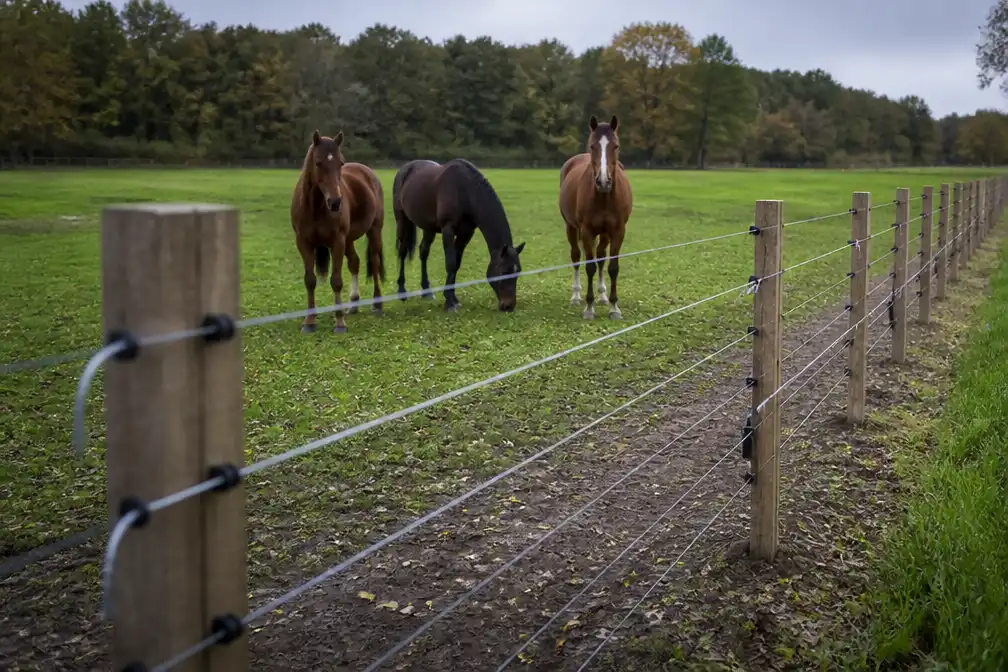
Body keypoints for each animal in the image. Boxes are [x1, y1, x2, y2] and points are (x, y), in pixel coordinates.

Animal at [290, 129, 386, 333]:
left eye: (340, 163)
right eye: (318, 162)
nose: (335, 202)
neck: (315, 208)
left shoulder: (337, 242)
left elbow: (336, 280)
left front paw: (340, 322)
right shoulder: (304, 243)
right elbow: (310, 280)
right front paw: (309, 321)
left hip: (373, 231)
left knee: (373, 263)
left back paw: (377, 304)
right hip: (349, 239)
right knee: (355, 263)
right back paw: (354, 304)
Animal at [392, 158, 526, 312]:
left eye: (518, 271)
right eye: (504, 272)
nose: (509, 306)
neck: (465, 191)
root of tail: (406, 168)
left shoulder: (466, 233)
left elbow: (456, 264)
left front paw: (453, 299)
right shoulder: (448, 229)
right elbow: (450, 263)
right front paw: (449, 303)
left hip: (428, 227)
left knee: (423, 252)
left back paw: (427, 292)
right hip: (401, 220)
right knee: (402, 251)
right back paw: (401, 291)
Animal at [558, 115, 633, 320]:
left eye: (616, 146)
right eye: (592, 146)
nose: (603, 181)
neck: (604, 197)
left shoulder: (618, 232)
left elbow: (612, 267)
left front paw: (614, 307)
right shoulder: (587, 231)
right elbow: (589, 266)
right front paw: (589, 308)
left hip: (605, 234)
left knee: (600, 257)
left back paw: (603, 295)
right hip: (571, 228)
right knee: (576, 257)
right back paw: (576, 296)